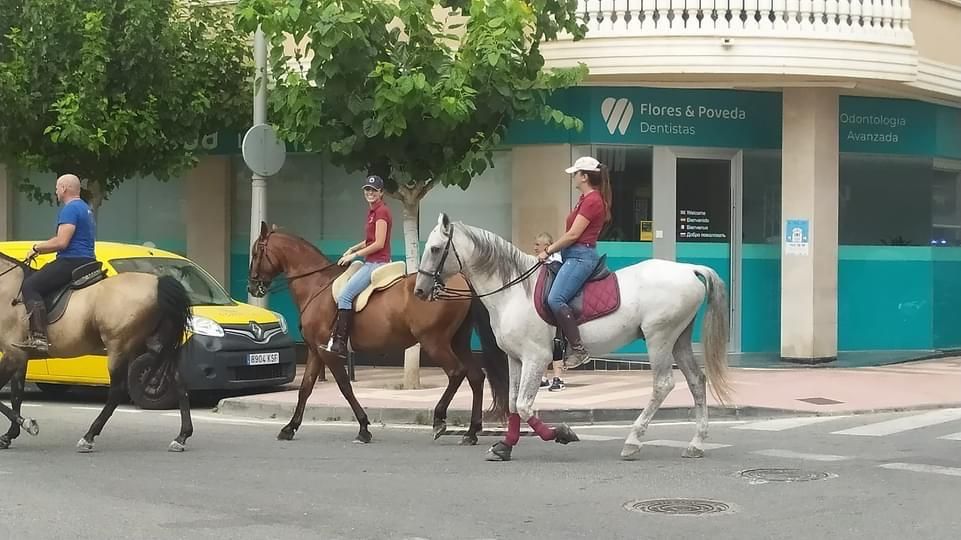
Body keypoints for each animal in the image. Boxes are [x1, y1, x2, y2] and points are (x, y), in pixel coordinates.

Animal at [0, 252, 195, 452]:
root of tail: (158, 283)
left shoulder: (12, 354)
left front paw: (25, 424)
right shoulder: (19, 356)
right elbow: (17, 395)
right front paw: (10, 434)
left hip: (118, 347)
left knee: (117, 391)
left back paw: (88, 436)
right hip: (156, 345)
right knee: (179, 382)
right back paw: (181, 437)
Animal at [246, 221, 510, 446]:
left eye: (256, 252)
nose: (251, 286)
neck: (316, 285)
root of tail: (462, 279)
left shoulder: (329, 353)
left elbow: (344, 386)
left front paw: (363, 428)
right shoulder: (315, 350)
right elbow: (305, 388)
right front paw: (289, 428)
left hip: (434, 341)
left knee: (457, 373)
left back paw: (439, 420)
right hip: (458, 341)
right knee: (476, 376)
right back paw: (471, 432)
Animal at [414, 213, 736, 462]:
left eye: (435, 249)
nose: (419, 290)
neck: (515, 289)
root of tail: (689, 269)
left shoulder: (536, 357)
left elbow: (524, 405)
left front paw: (562, 433)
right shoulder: (516, 358)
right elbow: (514, 402)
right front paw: (505, 446)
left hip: (659, 338)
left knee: (663, 384)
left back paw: (633, 441)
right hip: (679, 338)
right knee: (696, 381)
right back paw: (696, 444)